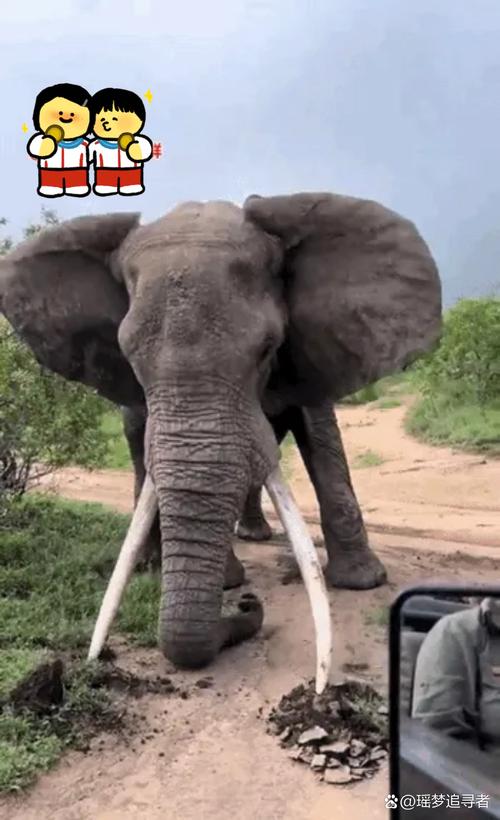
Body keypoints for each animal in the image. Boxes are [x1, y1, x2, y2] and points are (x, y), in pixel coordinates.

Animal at [0, 192, 442, 683]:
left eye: (268, 348)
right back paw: (157, 563)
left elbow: (321, 437)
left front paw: (363, 582)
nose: (248, 605)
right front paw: (230, 582)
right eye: (130, 358)